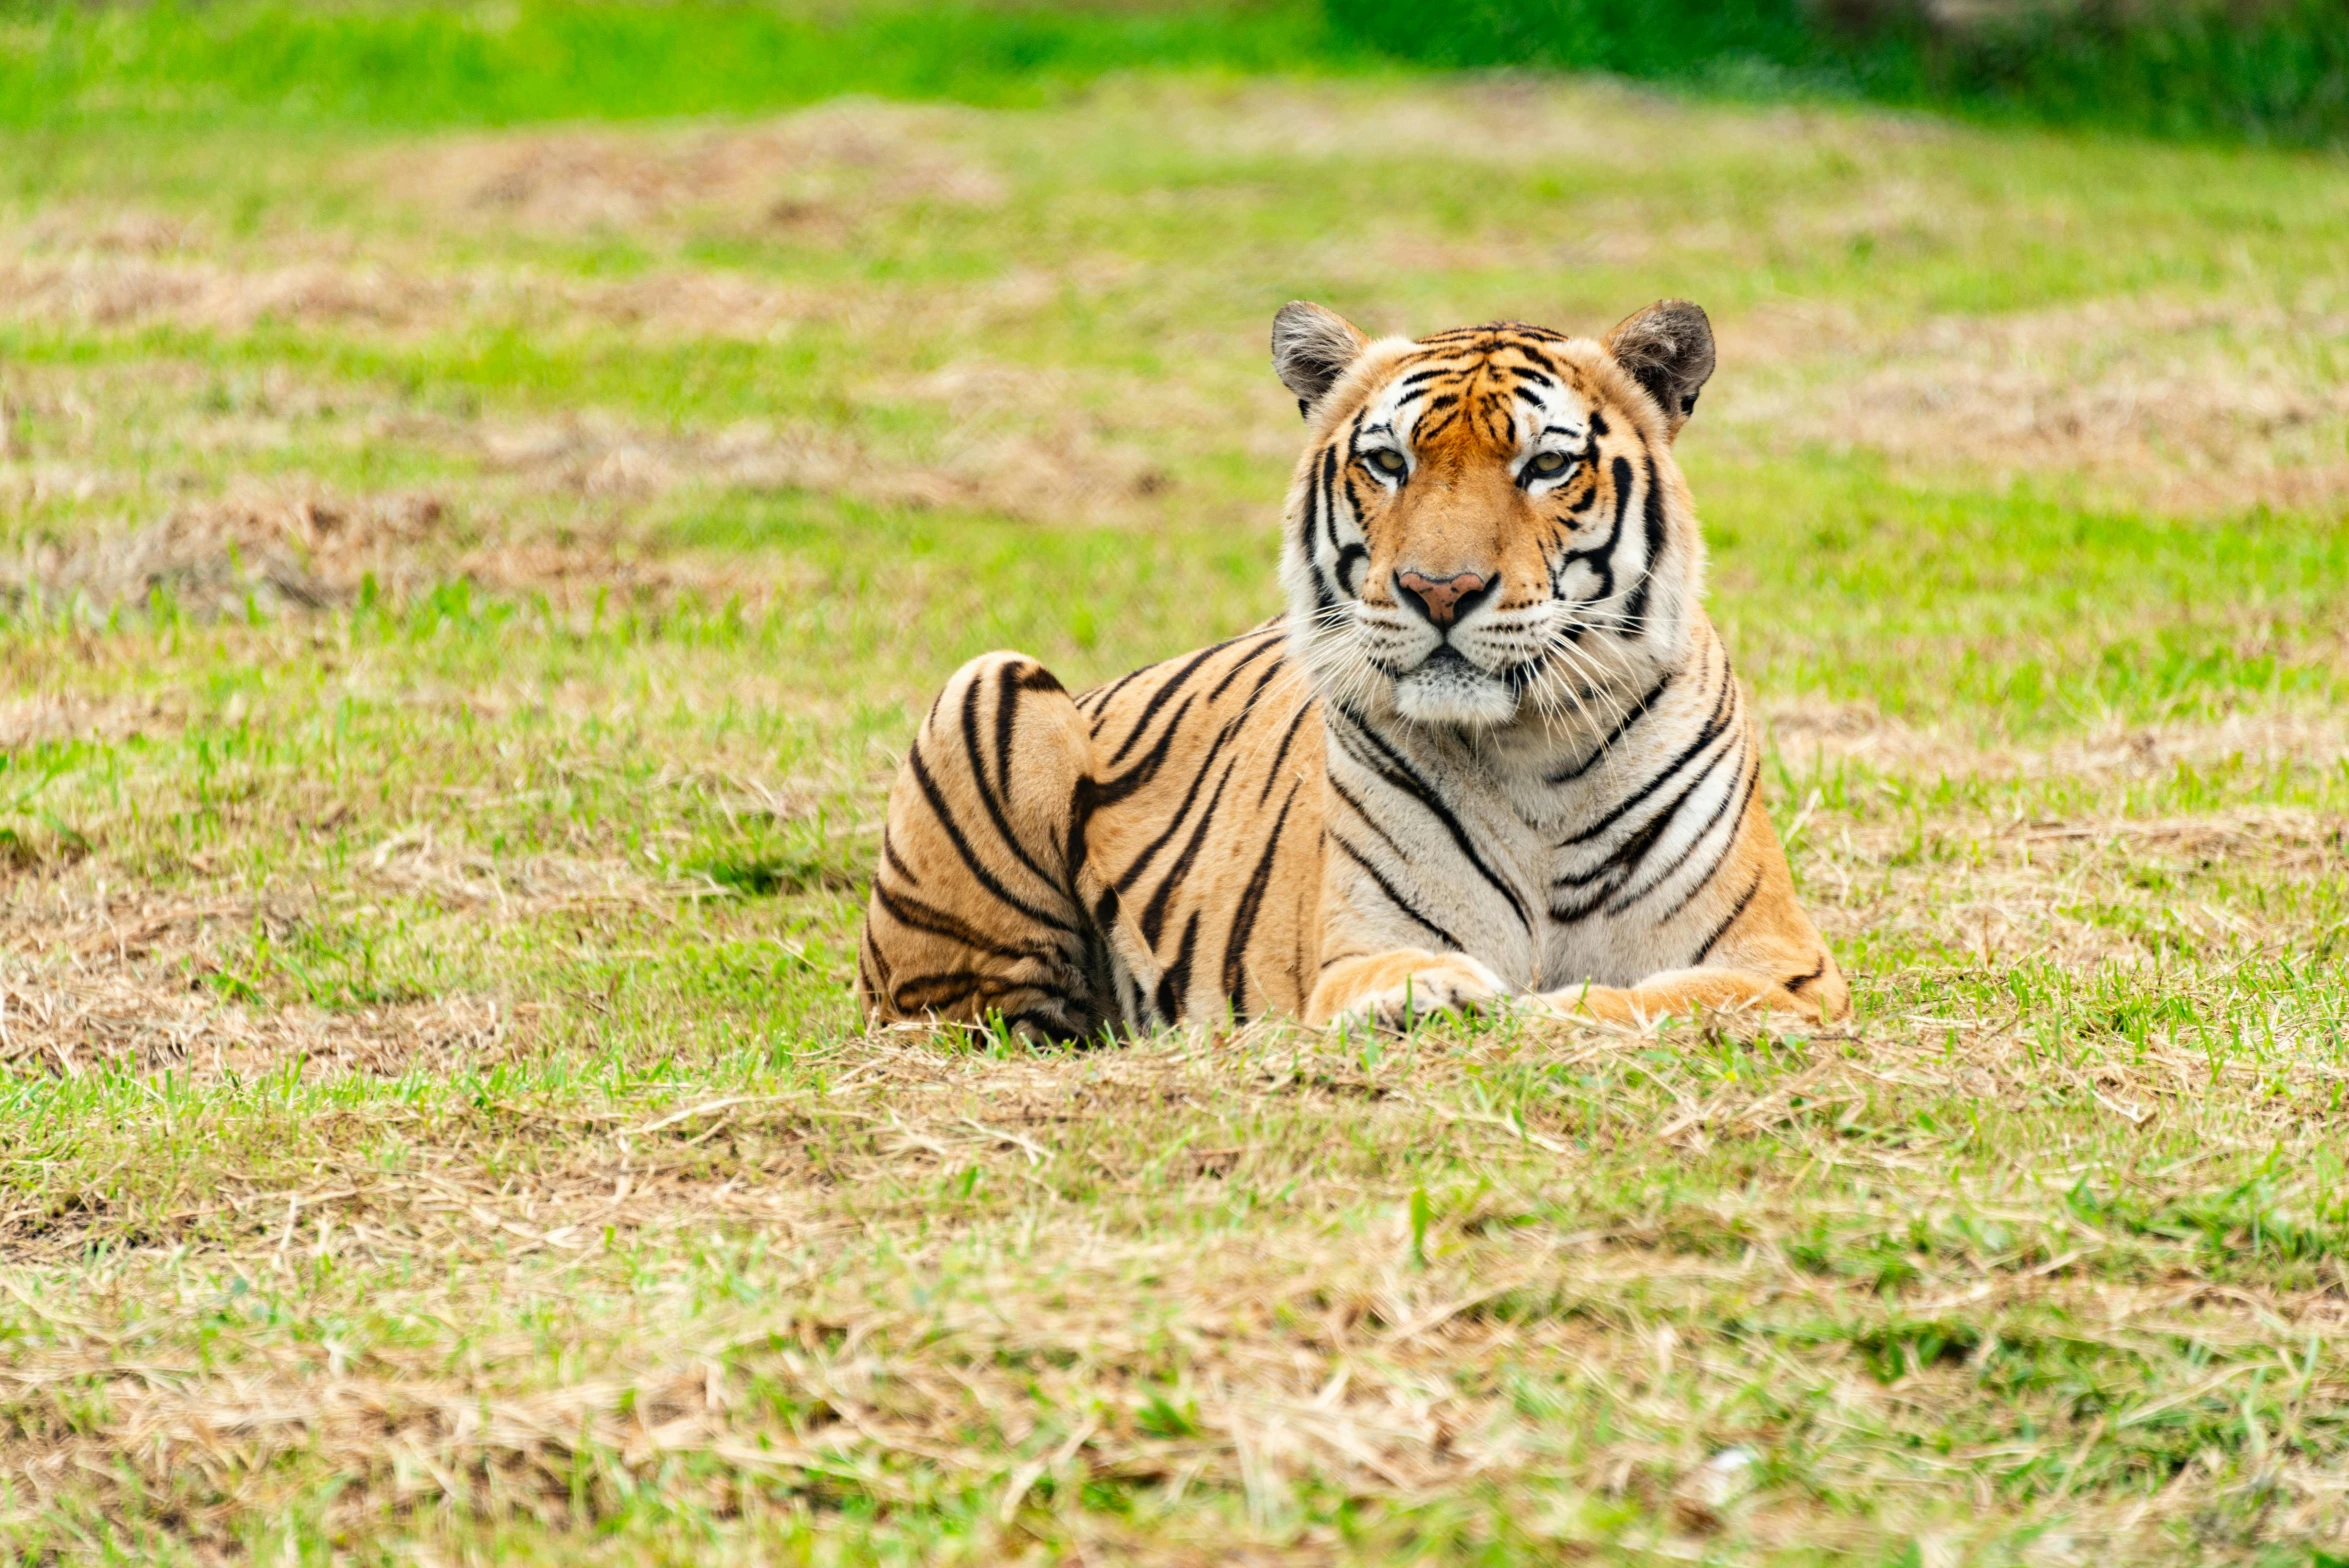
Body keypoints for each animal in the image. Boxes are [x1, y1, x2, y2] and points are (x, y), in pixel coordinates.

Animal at [855, 305, 1841, 1042]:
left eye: (1547, 465)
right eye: (1387, 461)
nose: (1439, 591)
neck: (1529, 754)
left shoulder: (1786, 969)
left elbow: (1655, 998)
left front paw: (1536, 1006)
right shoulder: (1354, 948)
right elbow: (1400, 975)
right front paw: (1435, 996)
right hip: (989, 685)